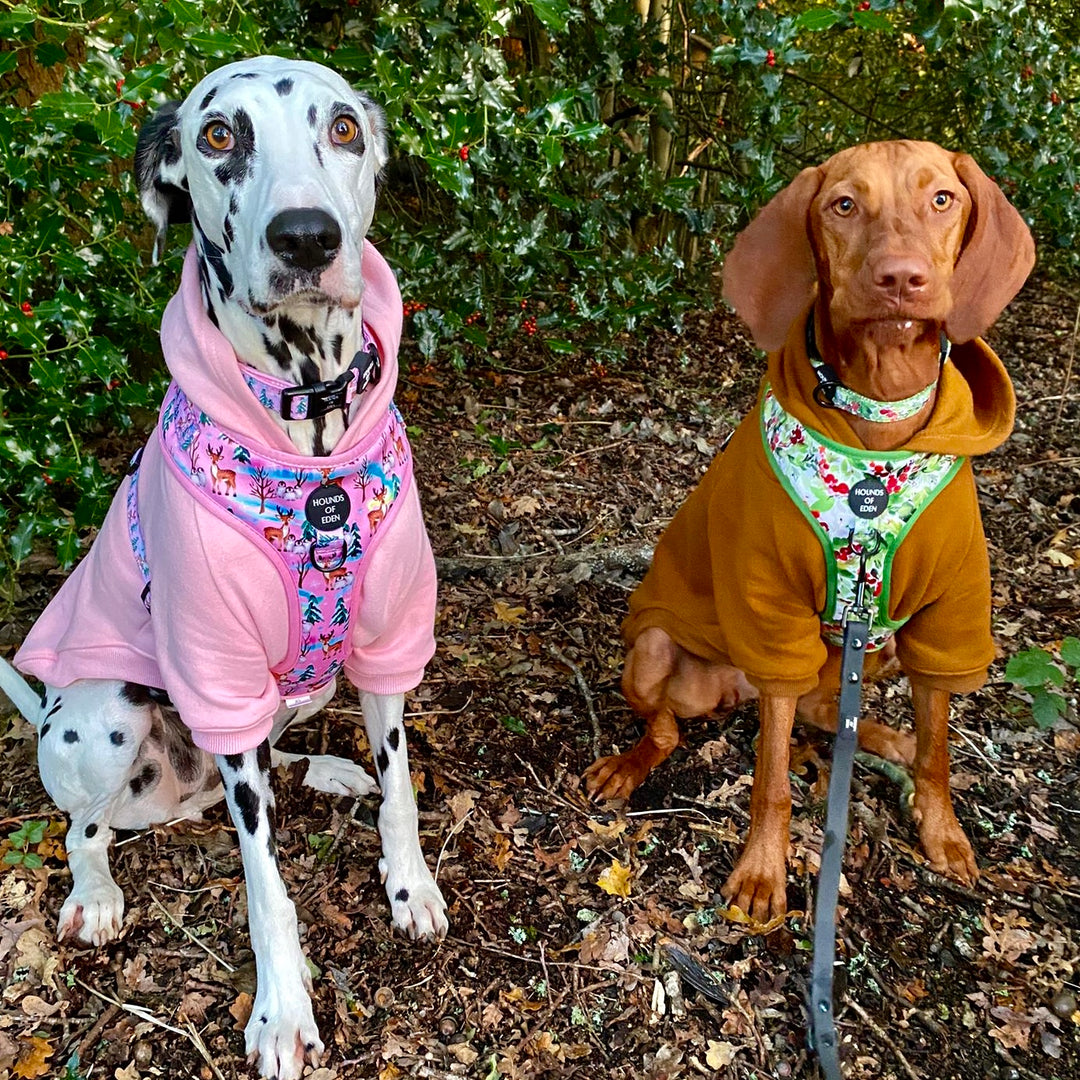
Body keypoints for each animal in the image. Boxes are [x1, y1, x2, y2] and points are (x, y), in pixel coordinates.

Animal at [587, 141, 1032, 920]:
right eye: (843, 205)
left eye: (942, 199)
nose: (901, 278)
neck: (876, 426)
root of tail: (732, 693)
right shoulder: (771, 616)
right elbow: (769, 784)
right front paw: (763, 873)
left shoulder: (947, 618)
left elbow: (939, 748)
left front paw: (942, 831)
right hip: (655, 649)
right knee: (673, 725)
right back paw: (631, 764)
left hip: (872, 645)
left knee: (829, 711)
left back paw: (885, 737)